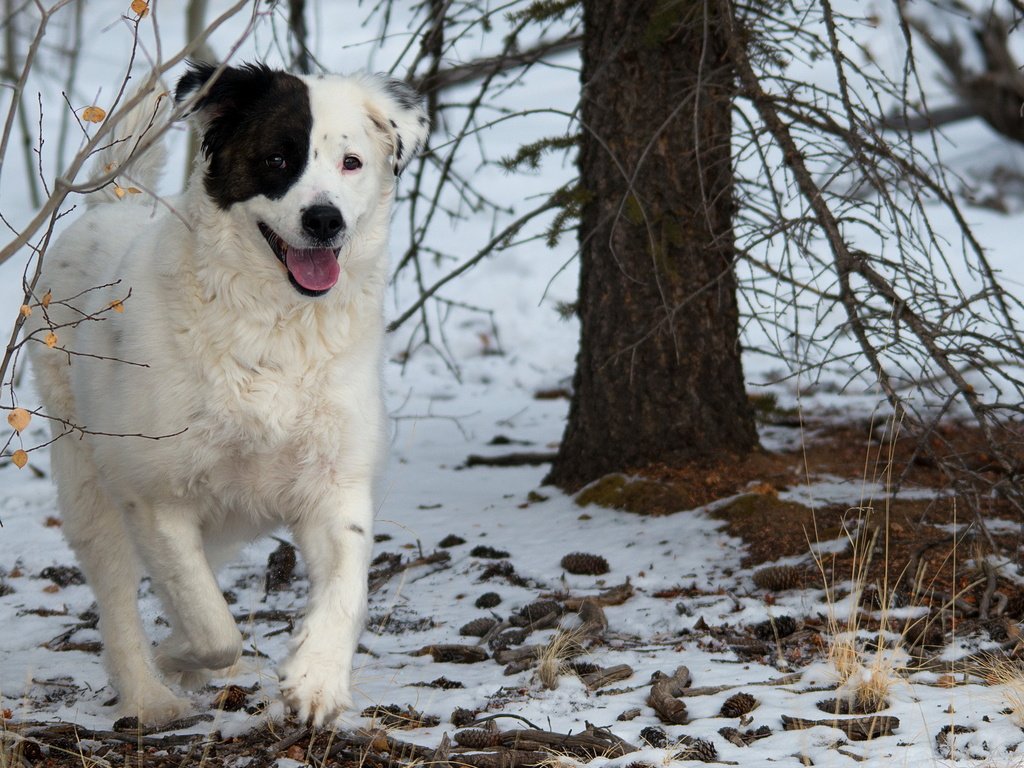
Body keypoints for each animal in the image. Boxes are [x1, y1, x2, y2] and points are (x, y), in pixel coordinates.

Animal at [28, 66, 428, 729]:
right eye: (278, 159)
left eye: (351, 162)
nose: (324, 219)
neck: (276, 328)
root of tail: (118, 202)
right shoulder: (157, 494)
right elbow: (213, 624)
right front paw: (180, 658)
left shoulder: (335, 482)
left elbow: (347, 587)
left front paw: (316, 679)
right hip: (87, 477)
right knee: (118, 595)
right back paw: (150, 696)